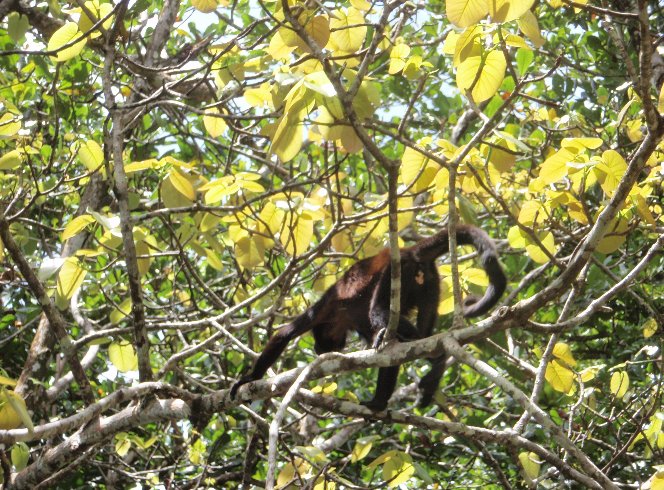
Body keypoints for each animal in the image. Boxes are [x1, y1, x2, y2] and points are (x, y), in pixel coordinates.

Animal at [231, 225, 506, 410]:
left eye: (320, 342)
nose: (319, 350)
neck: (340, 320)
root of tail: (409, 250)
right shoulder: (356, 322)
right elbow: (389, 351)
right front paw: (379, 402)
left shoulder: (325, 309)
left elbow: (284, 334)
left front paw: (248, 378)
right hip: (430, 280)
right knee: (421, 333)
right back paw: (435, 359)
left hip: (398, 271)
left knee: (380, 310)